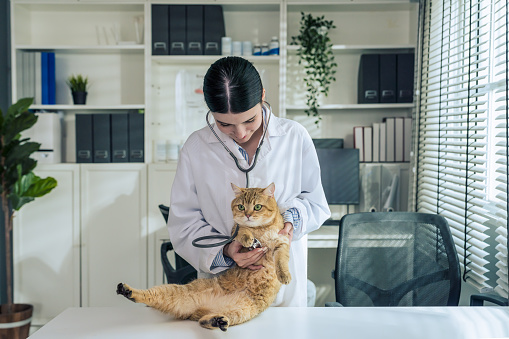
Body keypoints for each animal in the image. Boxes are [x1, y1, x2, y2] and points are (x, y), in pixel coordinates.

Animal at [116, 183, 290, 332]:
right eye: (241, 206)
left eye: (257, 207)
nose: (247, 214)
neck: (261, 229)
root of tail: (204, 308)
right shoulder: (235, 233)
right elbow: (242, 231)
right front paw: (248, 237)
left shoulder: (282, 243)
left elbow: (281, 260)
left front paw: (284, 275)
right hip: (174, 291)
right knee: (149, 295)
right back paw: (127, 290)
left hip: (242, 311)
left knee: (206, 321)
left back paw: (216, 321)